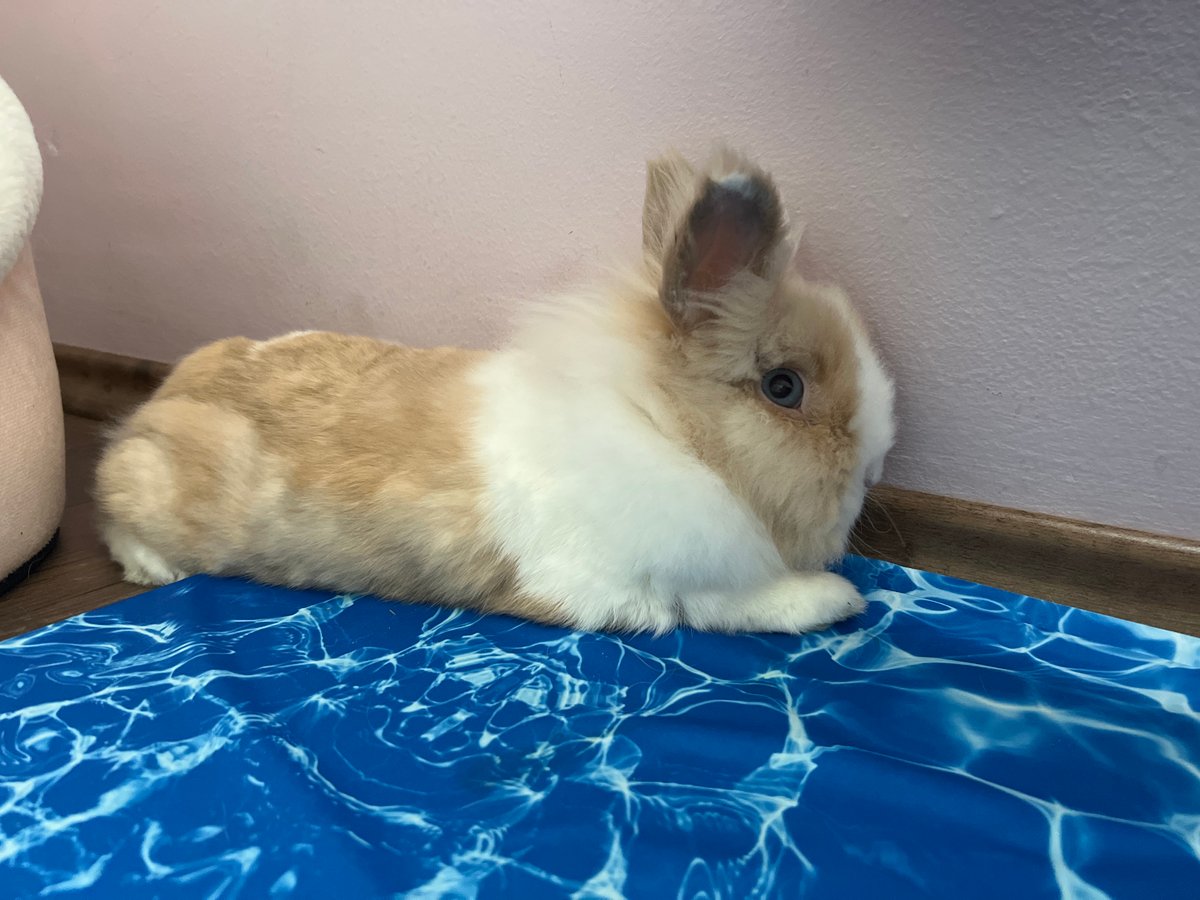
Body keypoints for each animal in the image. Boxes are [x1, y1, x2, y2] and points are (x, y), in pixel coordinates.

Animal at [96, 146, 895, 635]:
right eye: (783, 387)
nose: (874, 469)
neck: (660, 427)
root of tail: (159, 402)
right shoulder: (633, 585)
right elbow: (731, 605)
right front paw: (838, 599)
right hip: (151, 489)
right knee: (112, 511)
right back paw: (153, 567)